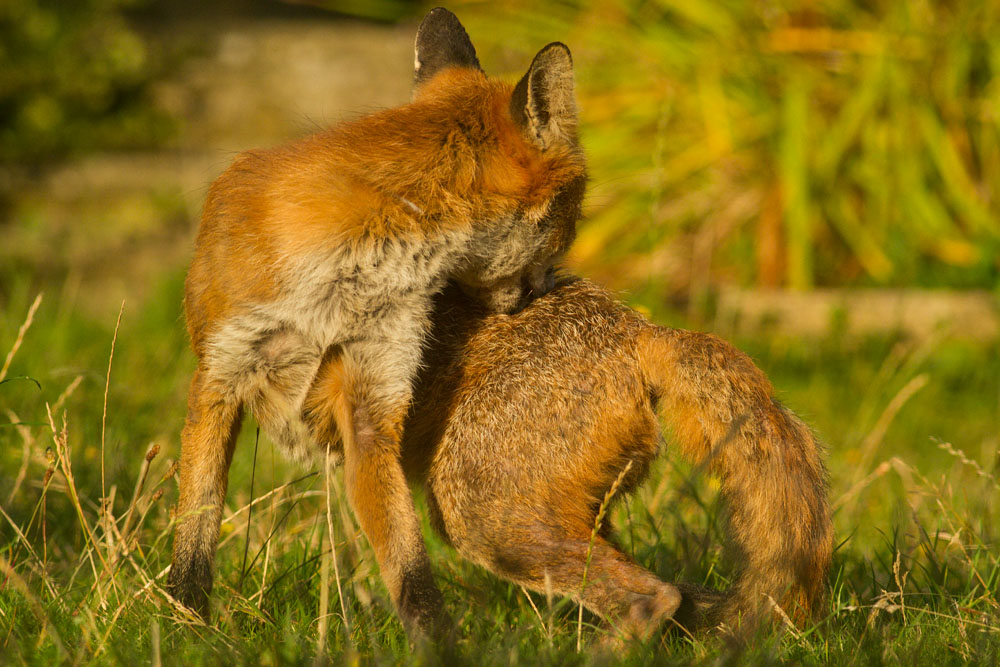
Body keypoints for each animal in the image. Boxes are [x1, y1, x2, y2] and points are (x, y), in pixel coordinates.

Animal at [167, 7, 586, 636]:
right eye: (574, 219)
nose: (553, 288)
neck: (341, 281)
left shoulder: (371, 393)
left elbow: (408, 566)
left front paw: (441, 644)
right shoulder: (220, 371)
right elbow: (195, 528)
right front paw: (185, 625)